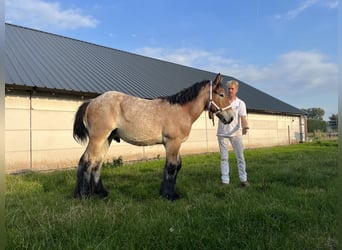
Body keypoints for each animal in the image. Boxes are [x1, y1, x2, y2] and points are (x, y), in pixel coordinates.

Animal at [73, 73, 234, 200]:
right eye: (221, 94)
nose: (231, 117)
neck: (181, 110)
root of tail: (92, 102)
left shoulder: (175, 144)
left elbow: (177, 166)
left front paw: (166, 192)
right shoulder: (172, 143)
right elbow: (171, 167)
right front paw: (169, 196)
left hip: (107, 139)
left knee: (96, 163)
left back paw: (101, 193)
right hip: (98, 139)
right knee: (86, 161)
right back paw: (83, 195)